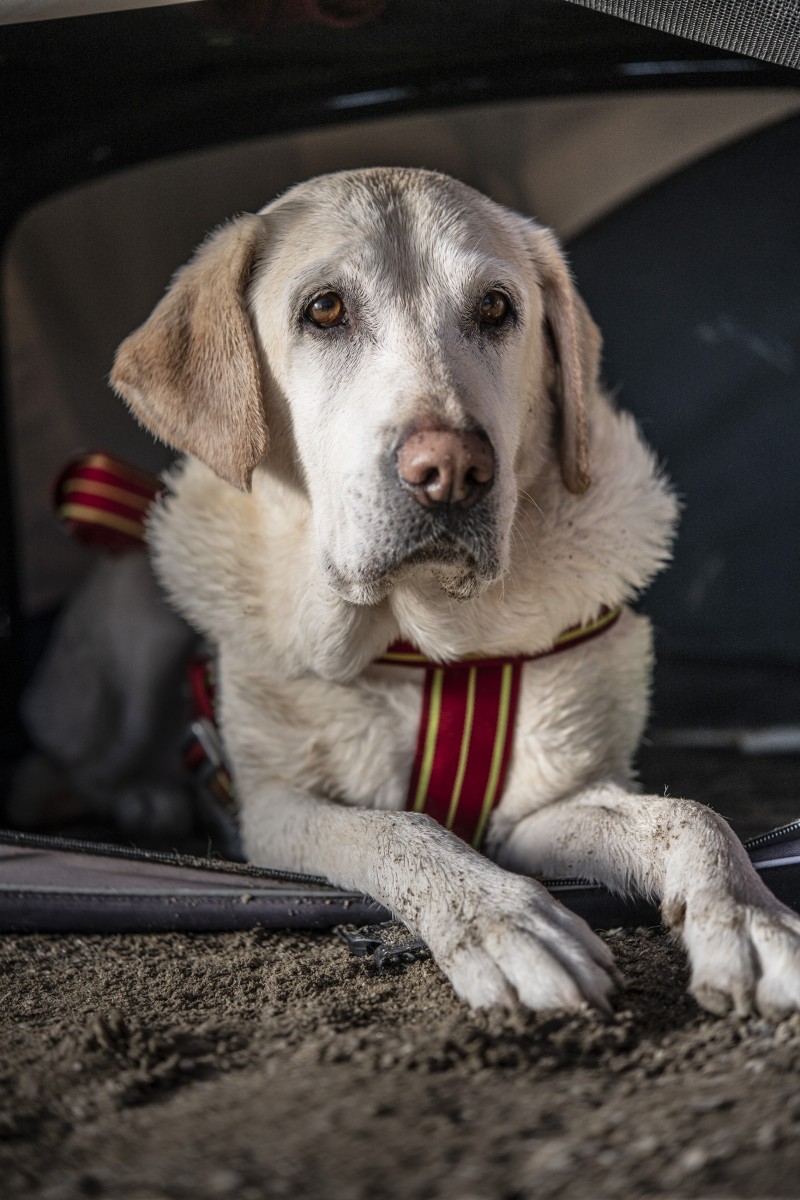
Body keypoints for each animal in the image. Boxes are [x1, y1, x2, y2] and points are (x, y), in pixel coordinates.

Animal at [17, 166, 800, 1012]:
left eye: (496, 308)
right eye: (324, 309)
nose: (451, 469)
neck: (426, 636)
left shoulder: (549, 803)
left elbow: (694, 817)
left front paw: (749, 920)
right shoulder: (278, 808)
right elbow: (401, 829)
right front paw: (503, 920)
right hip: (126, 631)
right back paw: (138, 797)